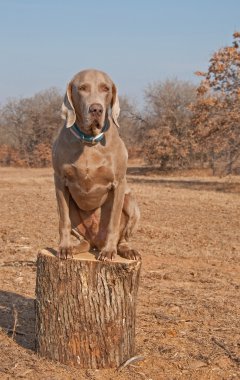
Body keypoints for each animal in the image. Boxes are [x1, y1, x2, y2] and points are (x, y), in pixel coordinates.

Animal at [51, 69, 140, 262]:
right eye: (82, 88)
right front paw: (64, 248)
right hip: (73, 211)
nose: (96, 109)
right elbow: (63, 220)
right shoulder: (60, 180)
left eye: (105, 88)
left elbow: (113, 221)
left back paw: (125, 250)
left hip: (132, 203)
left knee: (123, 236)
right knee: (81, 238)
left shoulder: (119, 183)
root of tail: (95, 242)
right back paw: (74, 247)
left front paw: (108, 252)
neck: (89, 140)